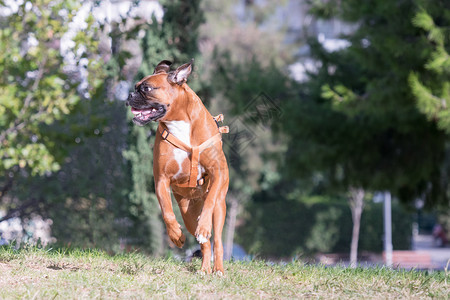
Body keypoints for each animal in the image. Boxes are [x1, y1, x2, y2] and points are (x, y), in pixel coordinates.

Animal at [125, 59, 229, 276]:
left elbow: (209, 203)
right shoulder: (161, 180)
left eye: (146, 89)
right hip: (188, 214)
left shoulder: (217, 173)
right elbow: (166, 211)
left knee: (216, 239)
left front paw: (204, 227)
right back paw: (204, 268)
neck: (179, 122)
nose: (129, 95)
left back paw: (217, 268)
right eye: (136, 87)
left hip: (220, 207)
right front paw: (175, 235)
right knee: (204, 245)